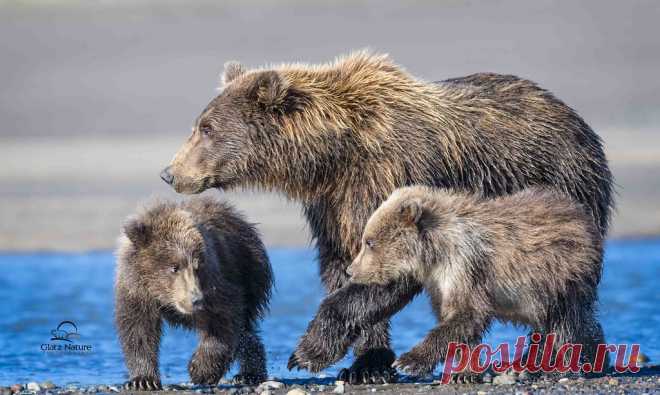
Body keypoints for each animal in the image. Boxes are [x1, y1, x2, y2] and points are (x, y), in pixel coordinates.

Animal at [160, 51, 612, 384]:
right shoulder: (335, 204)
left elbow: (391, 268)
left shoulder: (390, 177)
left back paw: (557, 358)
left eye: (206, 127)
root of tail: (580, 122)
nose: (170, 172)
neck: (334, 155)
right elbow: (345, 264)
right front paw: (366, 364)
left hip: (561, 186)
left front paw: (309, 352)